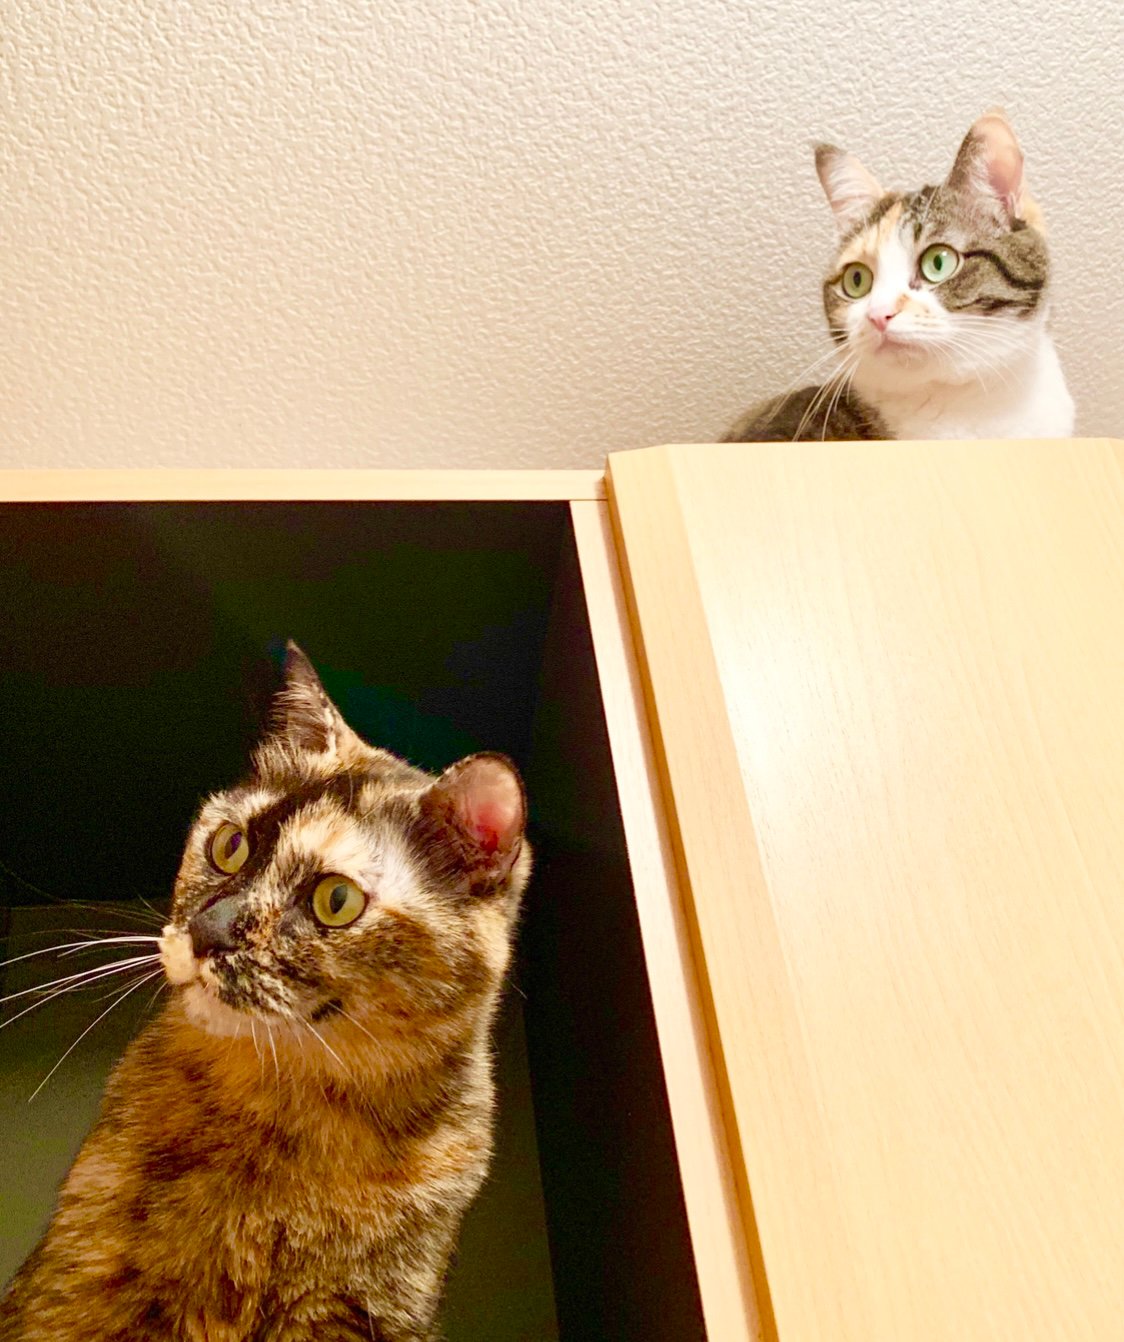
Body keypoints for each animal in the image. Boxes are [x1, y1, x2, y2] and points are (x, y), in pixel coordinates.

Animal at [0, 644, 531, 1342]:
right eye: (229, 846)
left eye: (336, 900)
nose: (206, 932)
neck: (287, 1113)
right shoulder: (80, 1277)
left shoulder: (367, 1309)